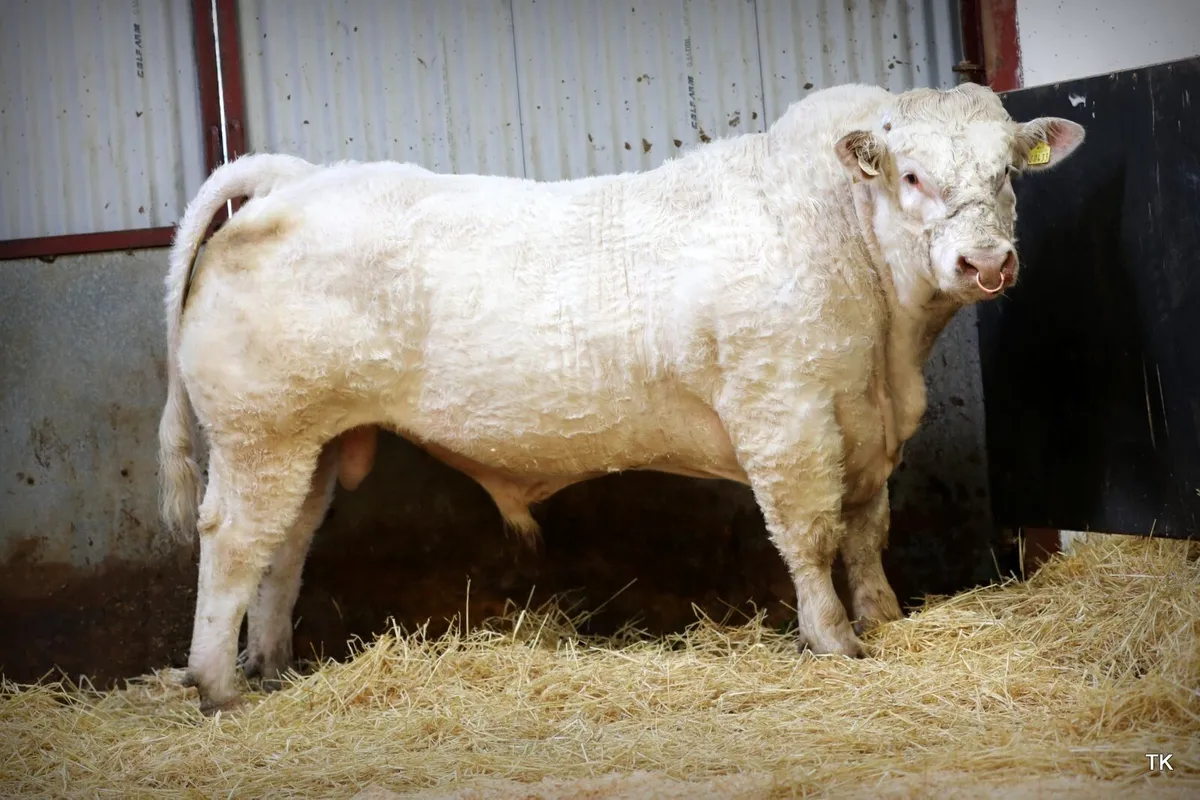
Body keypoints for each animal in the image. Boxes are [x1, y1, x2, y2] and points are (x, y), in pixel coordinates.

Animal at [158, 82, 1084, 714]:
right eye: (913, 175)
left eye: (1007, 173)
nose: (985, 263)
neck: (887, 342)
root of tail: (296, 178)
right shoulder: (785, 420)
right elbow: (811, 535)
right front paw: (832, 640)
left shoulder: (868, 427)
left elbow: (865, 534)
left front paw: (886, 619)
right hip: (261, 435)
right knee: (233, 540)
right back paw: (216, 685)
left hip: (306, 443)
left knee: (284, 545)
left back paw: (273, 666)